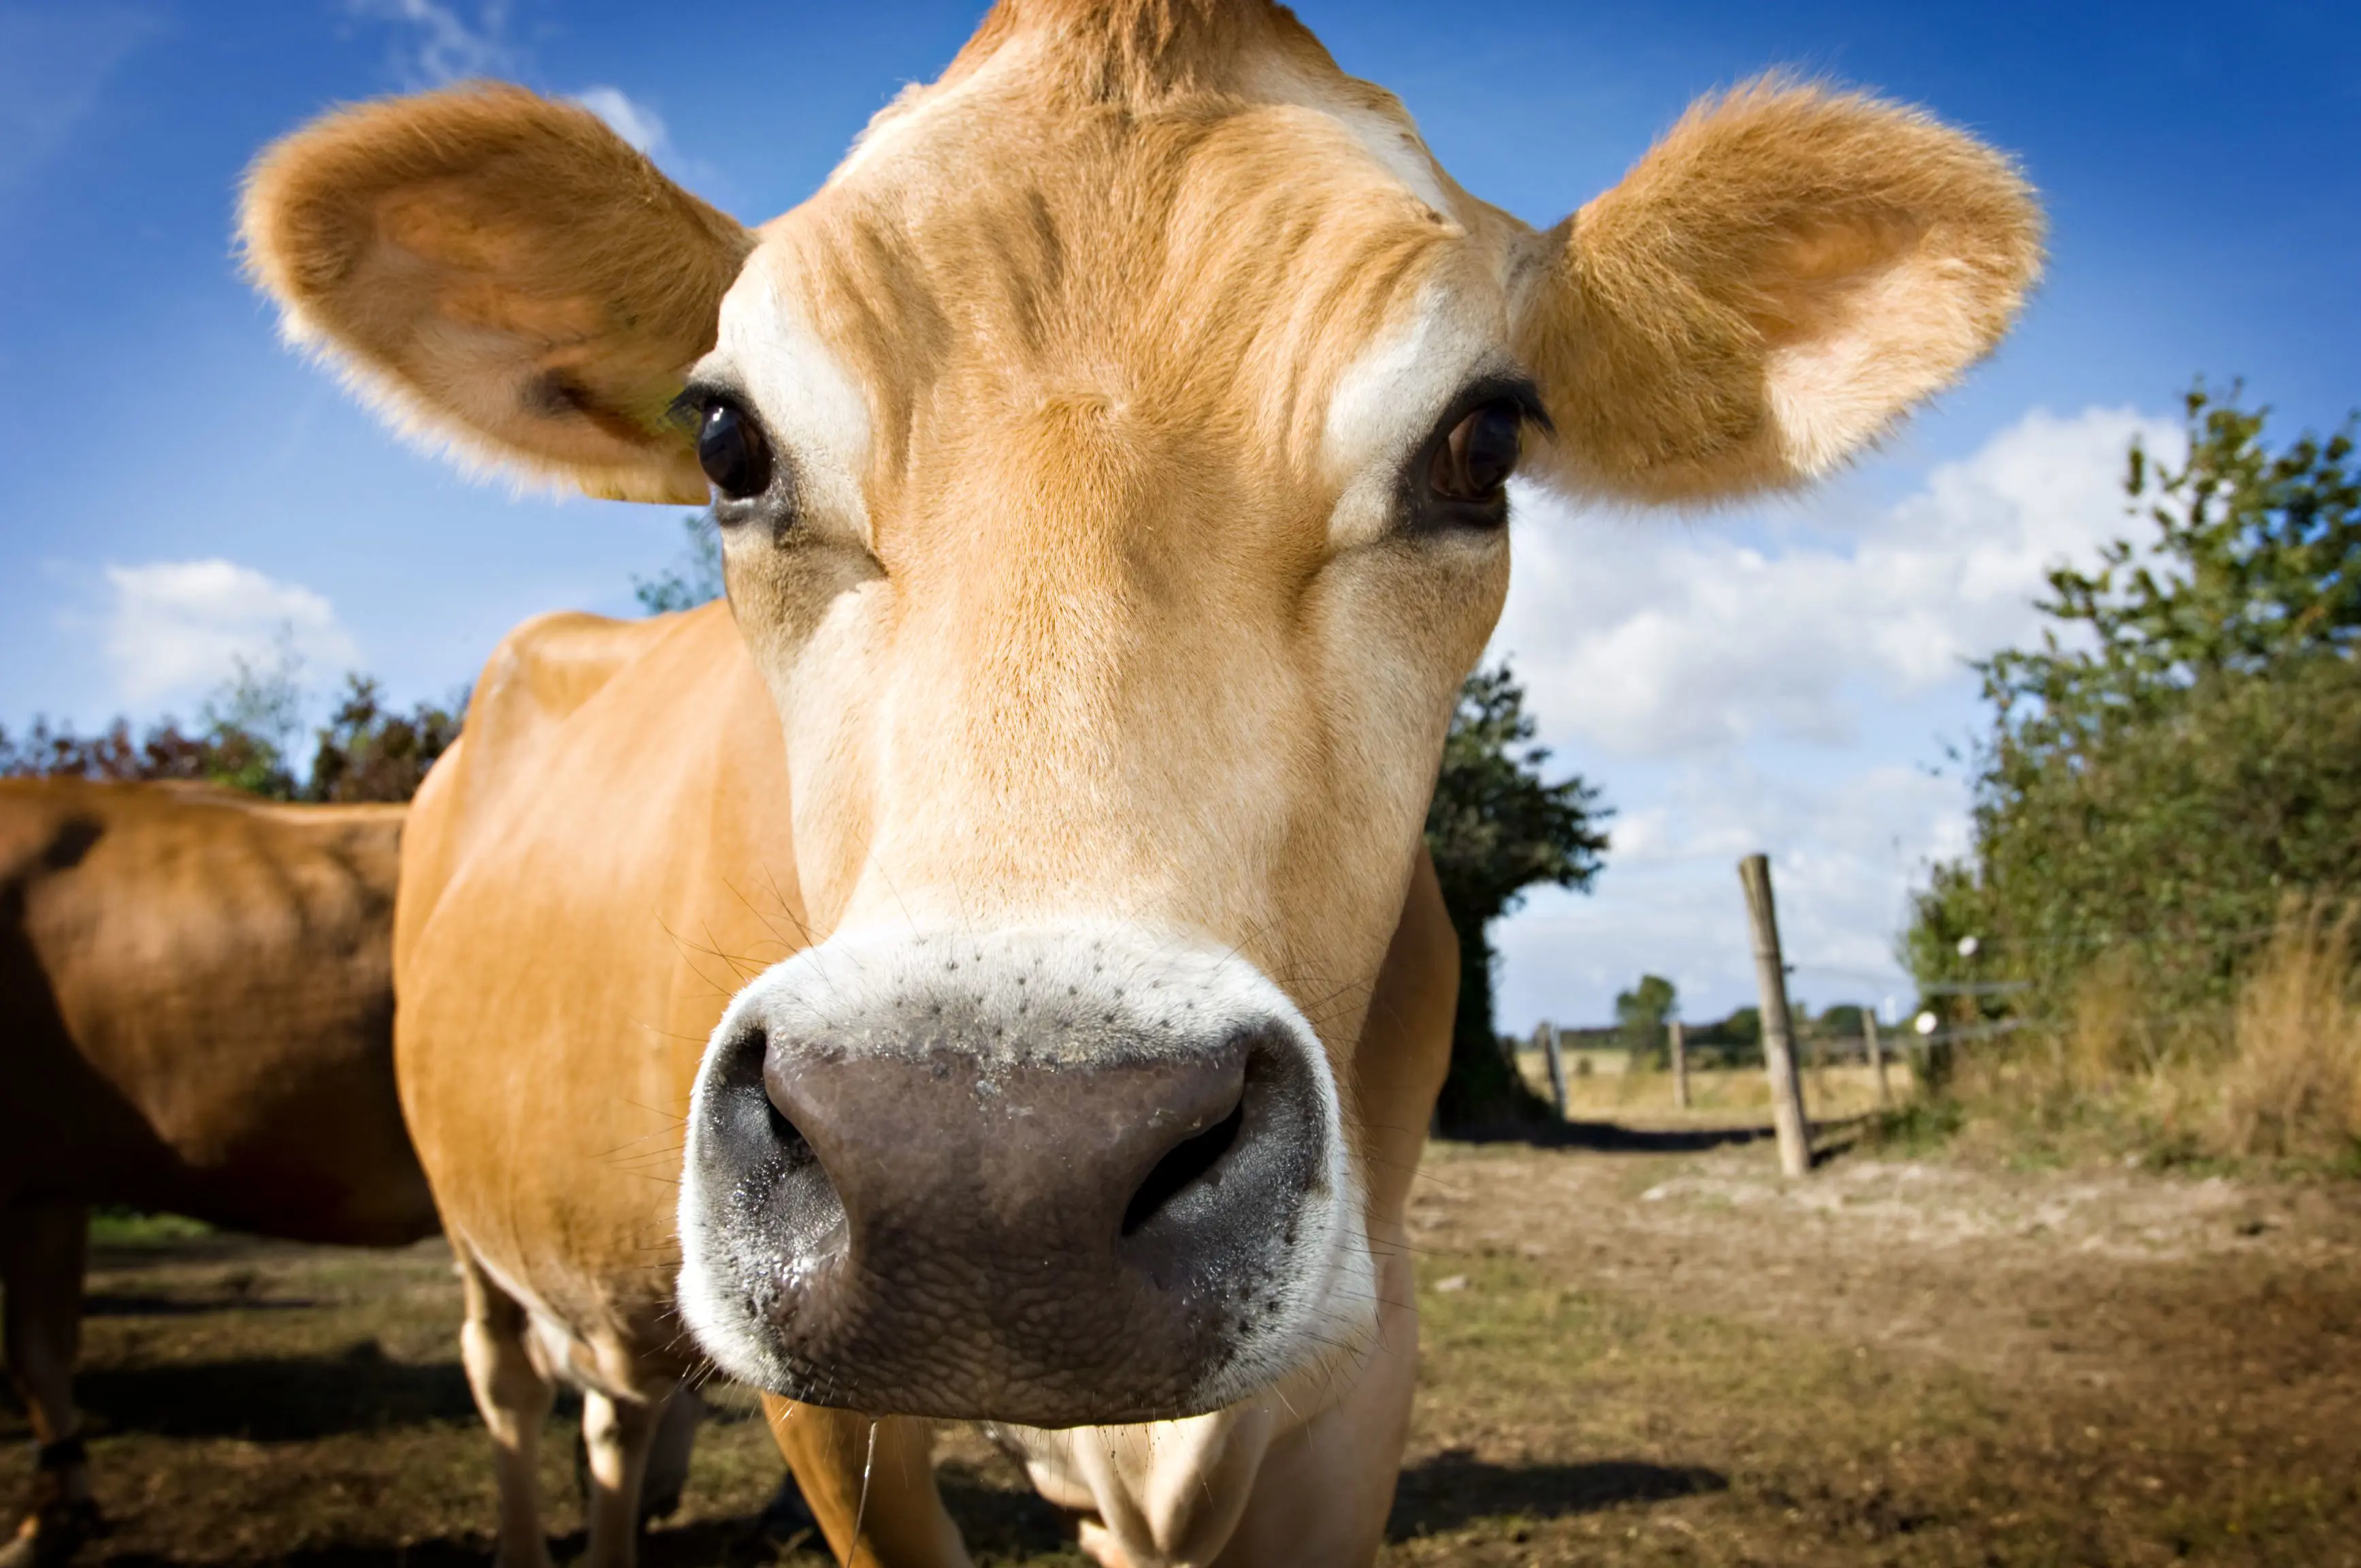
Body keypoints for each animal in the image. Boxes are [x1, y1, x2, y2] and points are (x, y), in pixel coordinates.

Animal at [237, 1, 2040, 1562]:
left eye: (1481, 446)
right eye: (728, 443)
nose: (990, 1175)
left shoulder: (1355, 1375)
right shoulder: (824, 1411)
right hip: (481, 1238)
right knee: (516, 1399)